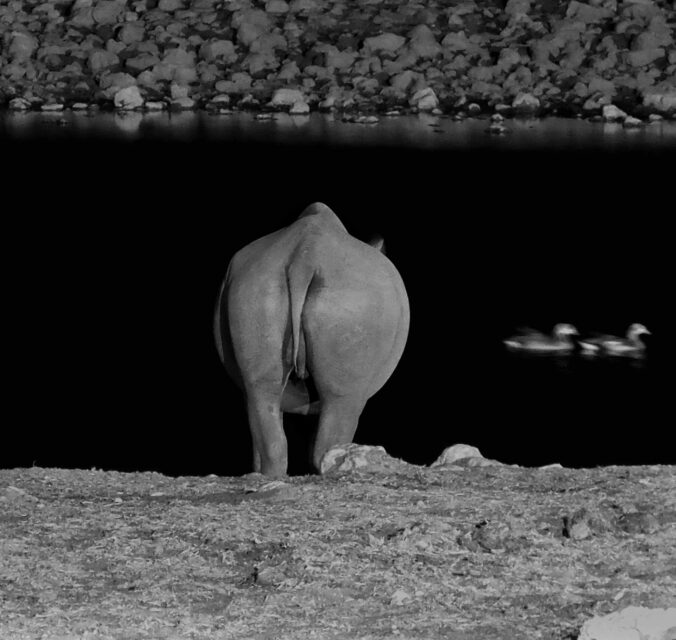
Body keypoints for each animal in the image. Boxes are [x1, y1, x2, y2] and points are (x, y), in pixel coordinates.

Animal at [214, 202, 410, 477]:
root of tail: (305, 257)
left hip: (254, 288)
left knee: (262, 391)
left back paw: (270, 475)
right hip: (352, 298)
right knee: (342, 401)